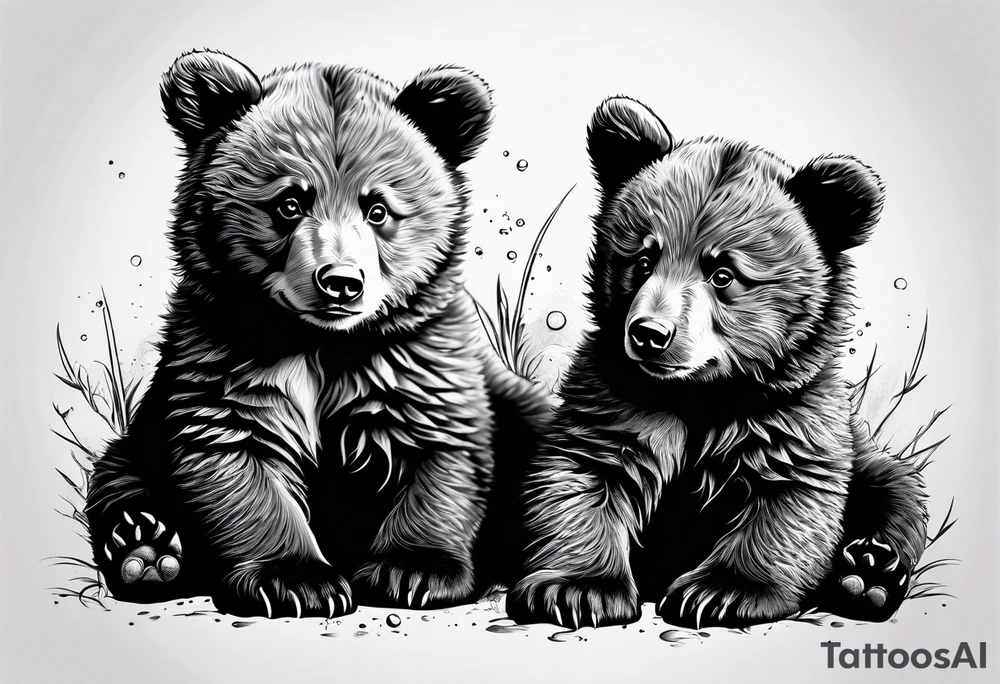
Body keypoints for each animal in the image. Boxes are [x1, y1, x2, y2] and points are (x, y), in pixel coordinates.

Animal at [84, 50, 551, 618]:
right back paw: (146, 548)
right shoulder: (222, 355)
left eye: (378, 208)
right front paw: (296, 579)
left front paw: (413, 570)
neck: (321, 341)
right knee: (117, 474)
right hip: (136, 440)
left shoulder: (417, 359)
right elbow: (235, 452)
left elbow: (441, 453)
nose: (341, 282)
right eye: (289, 202)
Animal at [506, 97, 929, 630]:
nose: (649, 334)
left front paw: (718, 591)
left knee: (894, 487)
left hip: (868, 460)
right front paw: (575, 589)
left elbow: (790, 497)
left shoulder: (790, 412)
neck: (699, 392)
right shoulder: (614, 401)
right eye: (643, 259)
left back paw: (869, 574)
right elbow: (578, 477)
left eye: (723, 273)